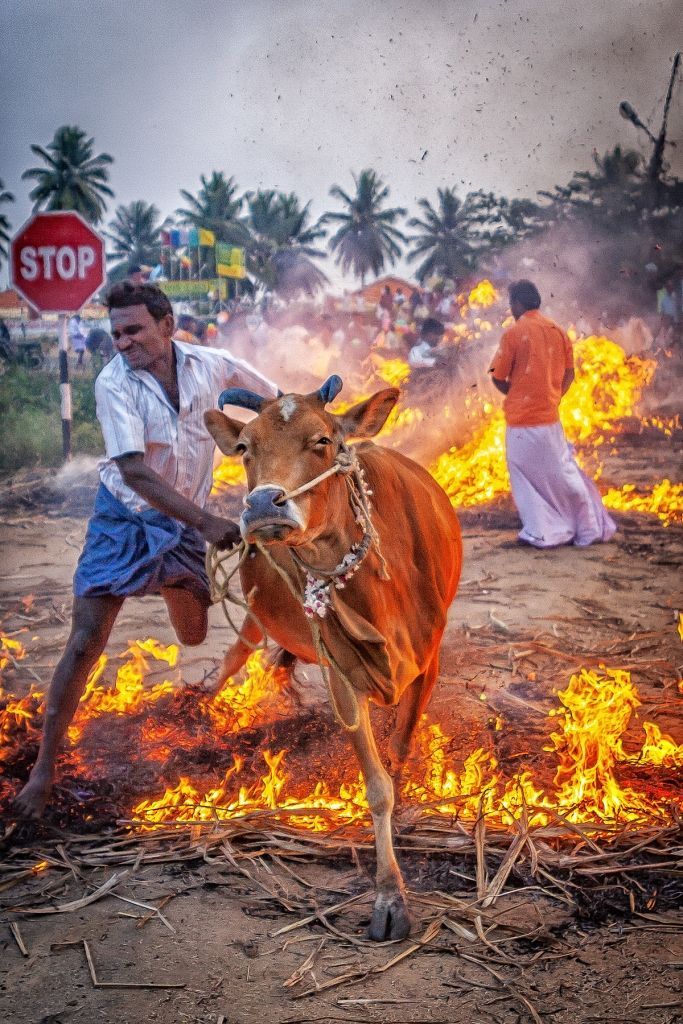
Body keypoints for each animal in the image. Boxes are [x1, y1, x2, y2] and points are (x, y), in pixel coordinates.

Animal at [205, 374, 462, 937]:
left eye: (322, 440)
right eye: (245, 447)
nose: (264, 505)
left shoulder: (428, 662)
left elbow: (399, 755)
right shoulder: (342, 674)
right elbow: (378, 786)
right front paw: (389, 895)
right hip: (257, 617)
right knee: (238, 655)